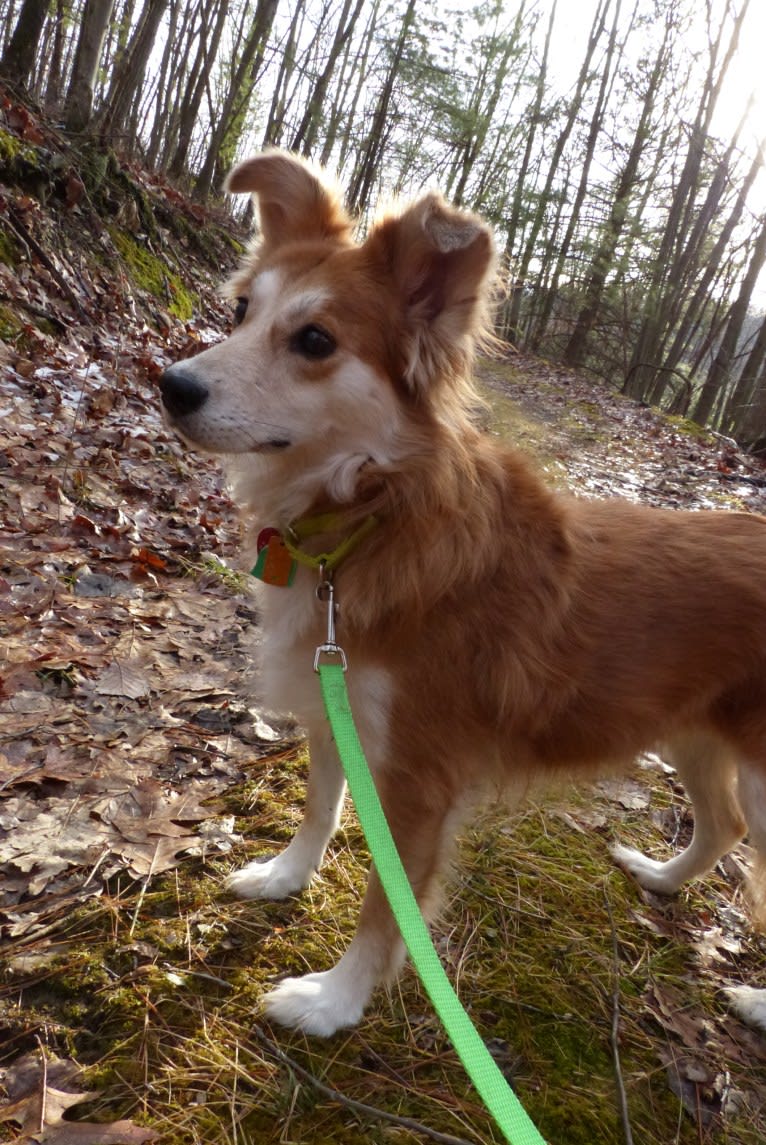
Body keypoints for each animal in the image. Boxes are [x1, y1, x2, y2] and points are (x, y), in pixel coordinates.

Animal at [158, 149, 764, 1039]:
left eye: (315, 340)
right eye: (241, 310)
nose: (170, 384)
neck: (374, 514)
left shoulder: (421, 779)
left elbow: (387, 906)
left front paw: (335, 1000)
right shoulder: (338, 706)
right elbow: (319, 810)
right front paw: (284, 875)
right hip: (695, 734)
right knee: (724, 824)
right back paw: (659, 874)